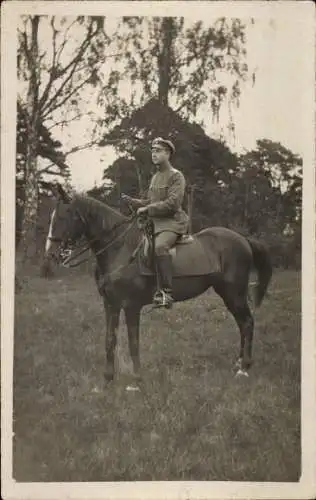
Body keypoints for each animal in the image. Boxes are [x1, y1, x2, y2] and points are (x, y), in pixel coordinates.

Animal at [43, 186, 272, 384]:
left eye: (64, 216)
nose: (51, 254)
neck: (119, 249)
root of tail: (243, 240)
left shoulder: (131, 306)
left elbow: (133, 342)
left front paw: (136, 379)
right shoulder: (110, 304)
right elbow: (110, 340)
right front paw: (108, 379)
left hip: (234, 294)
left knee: (247, 323)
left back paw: (244, 368)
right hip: (228, 294)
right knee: (242, 324)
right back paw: (239, 363)